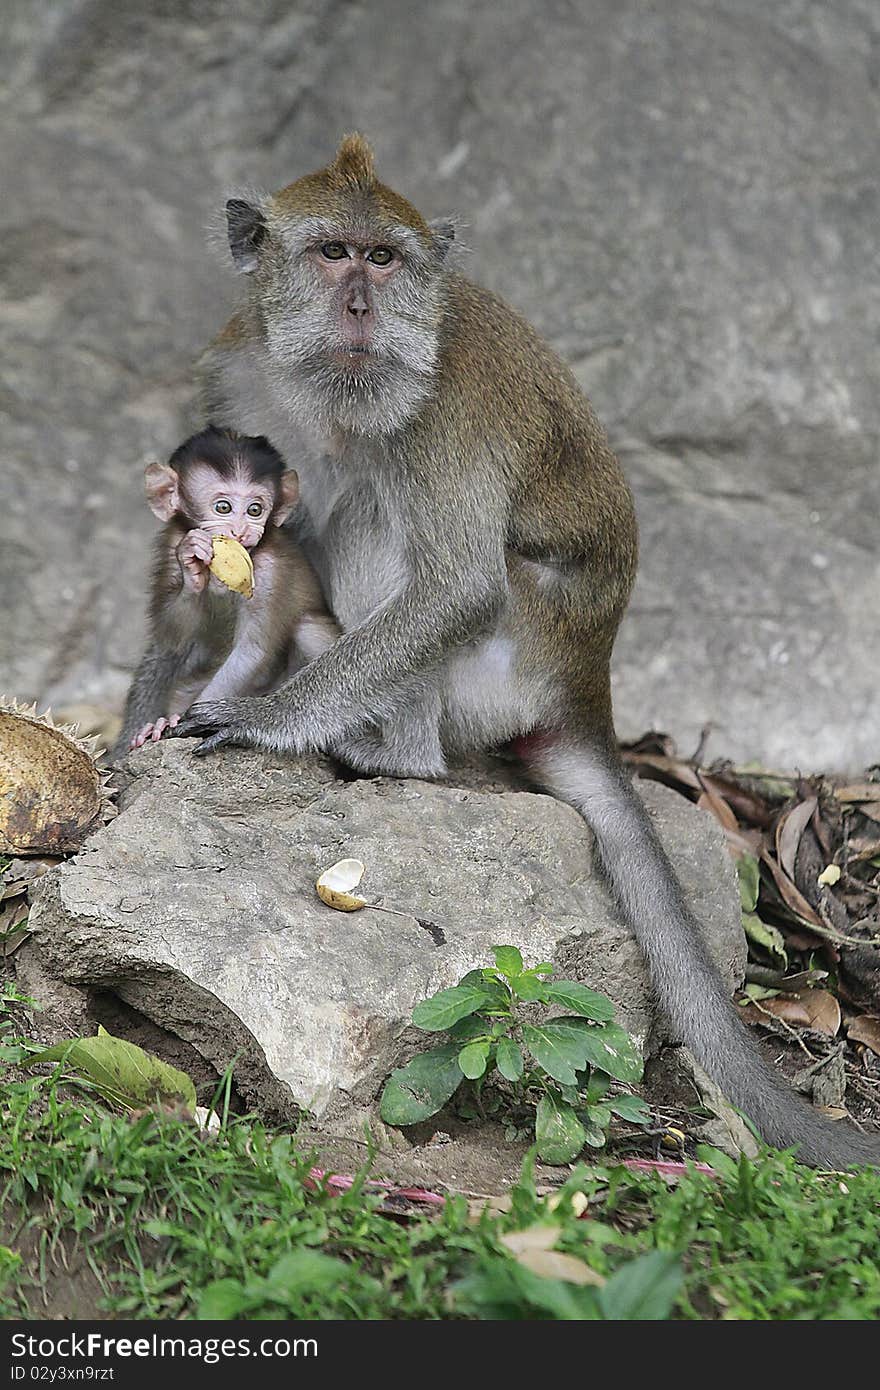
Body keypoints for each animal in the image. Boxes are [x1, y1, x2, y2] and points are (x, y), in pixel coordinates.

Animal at [112, 422, 336, 761]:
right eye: (223, 507)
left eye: (255, 509)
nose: (240, 531)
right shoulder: (172, 542)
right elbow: (172, 637)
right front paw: (192, 569)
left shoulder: (270, 571)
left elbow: (251, 651)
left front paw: (183, 720)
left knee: (306, 629)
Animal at [175, 135, 873, 1167]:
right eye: (333, 253)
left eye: (385, 260)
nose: (360, 307)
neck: (330, 393)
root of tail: (587, 683)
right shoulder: (234, 364)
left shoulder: (446, 412)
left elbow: (458, 587)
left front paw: (267, 719)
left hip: (510, 660)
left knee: (382, 519)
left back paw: (391, 752)